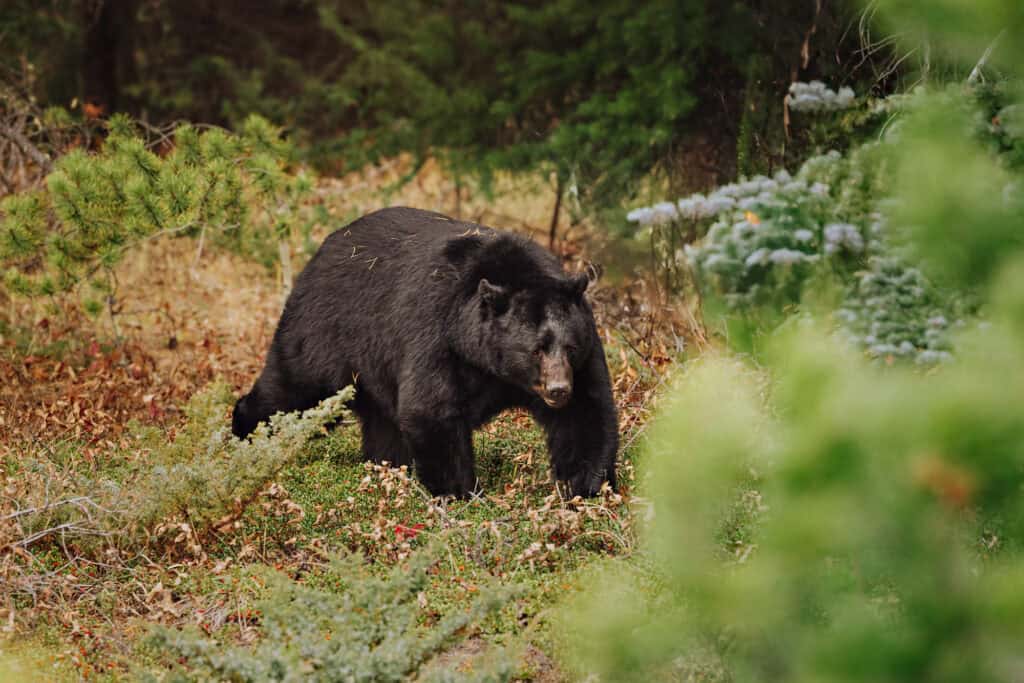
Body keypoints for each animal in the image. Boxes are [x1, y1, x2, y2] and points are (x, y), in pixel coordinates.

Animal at [232, 206, 618, 498]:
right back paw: (245, 437)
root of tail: (319, 254)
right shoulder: (437, 335)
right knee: (291, 392)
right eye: (535, 350)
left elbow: (587, 414)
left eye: (569, 346)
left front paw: (588, 489)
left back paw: (387, 466)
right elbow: (431, 410)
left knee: (381, 423)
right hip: (324, 337)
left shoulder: (584, 353)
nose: (558, 390)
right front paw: (461, 494)